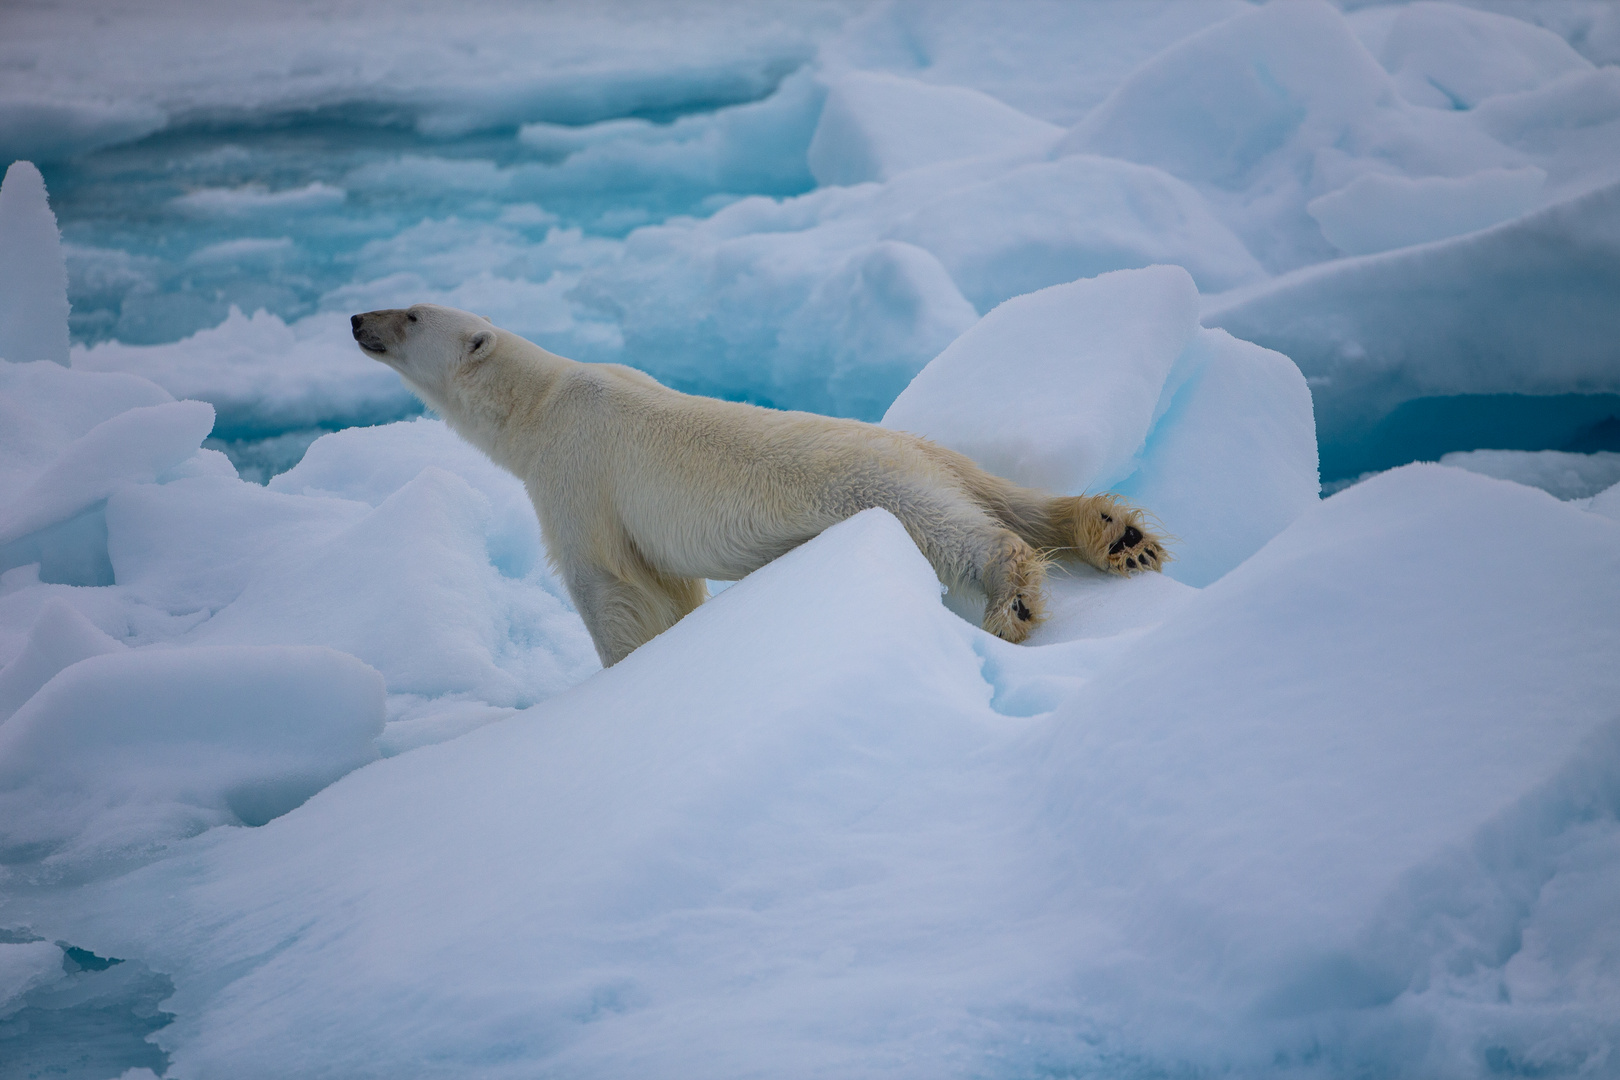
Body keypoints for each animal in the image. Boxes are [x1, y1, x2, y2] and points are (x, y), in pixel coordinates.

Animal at [351, 304, 1166, 667]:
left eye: (413, 314)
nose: (358, 317)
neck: (543, 400)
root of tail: (914, 449)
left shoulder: (576, 476)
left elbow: (612, 588)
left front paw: (625, 667)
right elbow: (669, 585)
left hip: (875, 486)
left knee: (961, 533)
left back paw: (1013, 602)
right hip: (941, 460)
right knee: (1015, 499)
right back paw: (1119, 535)